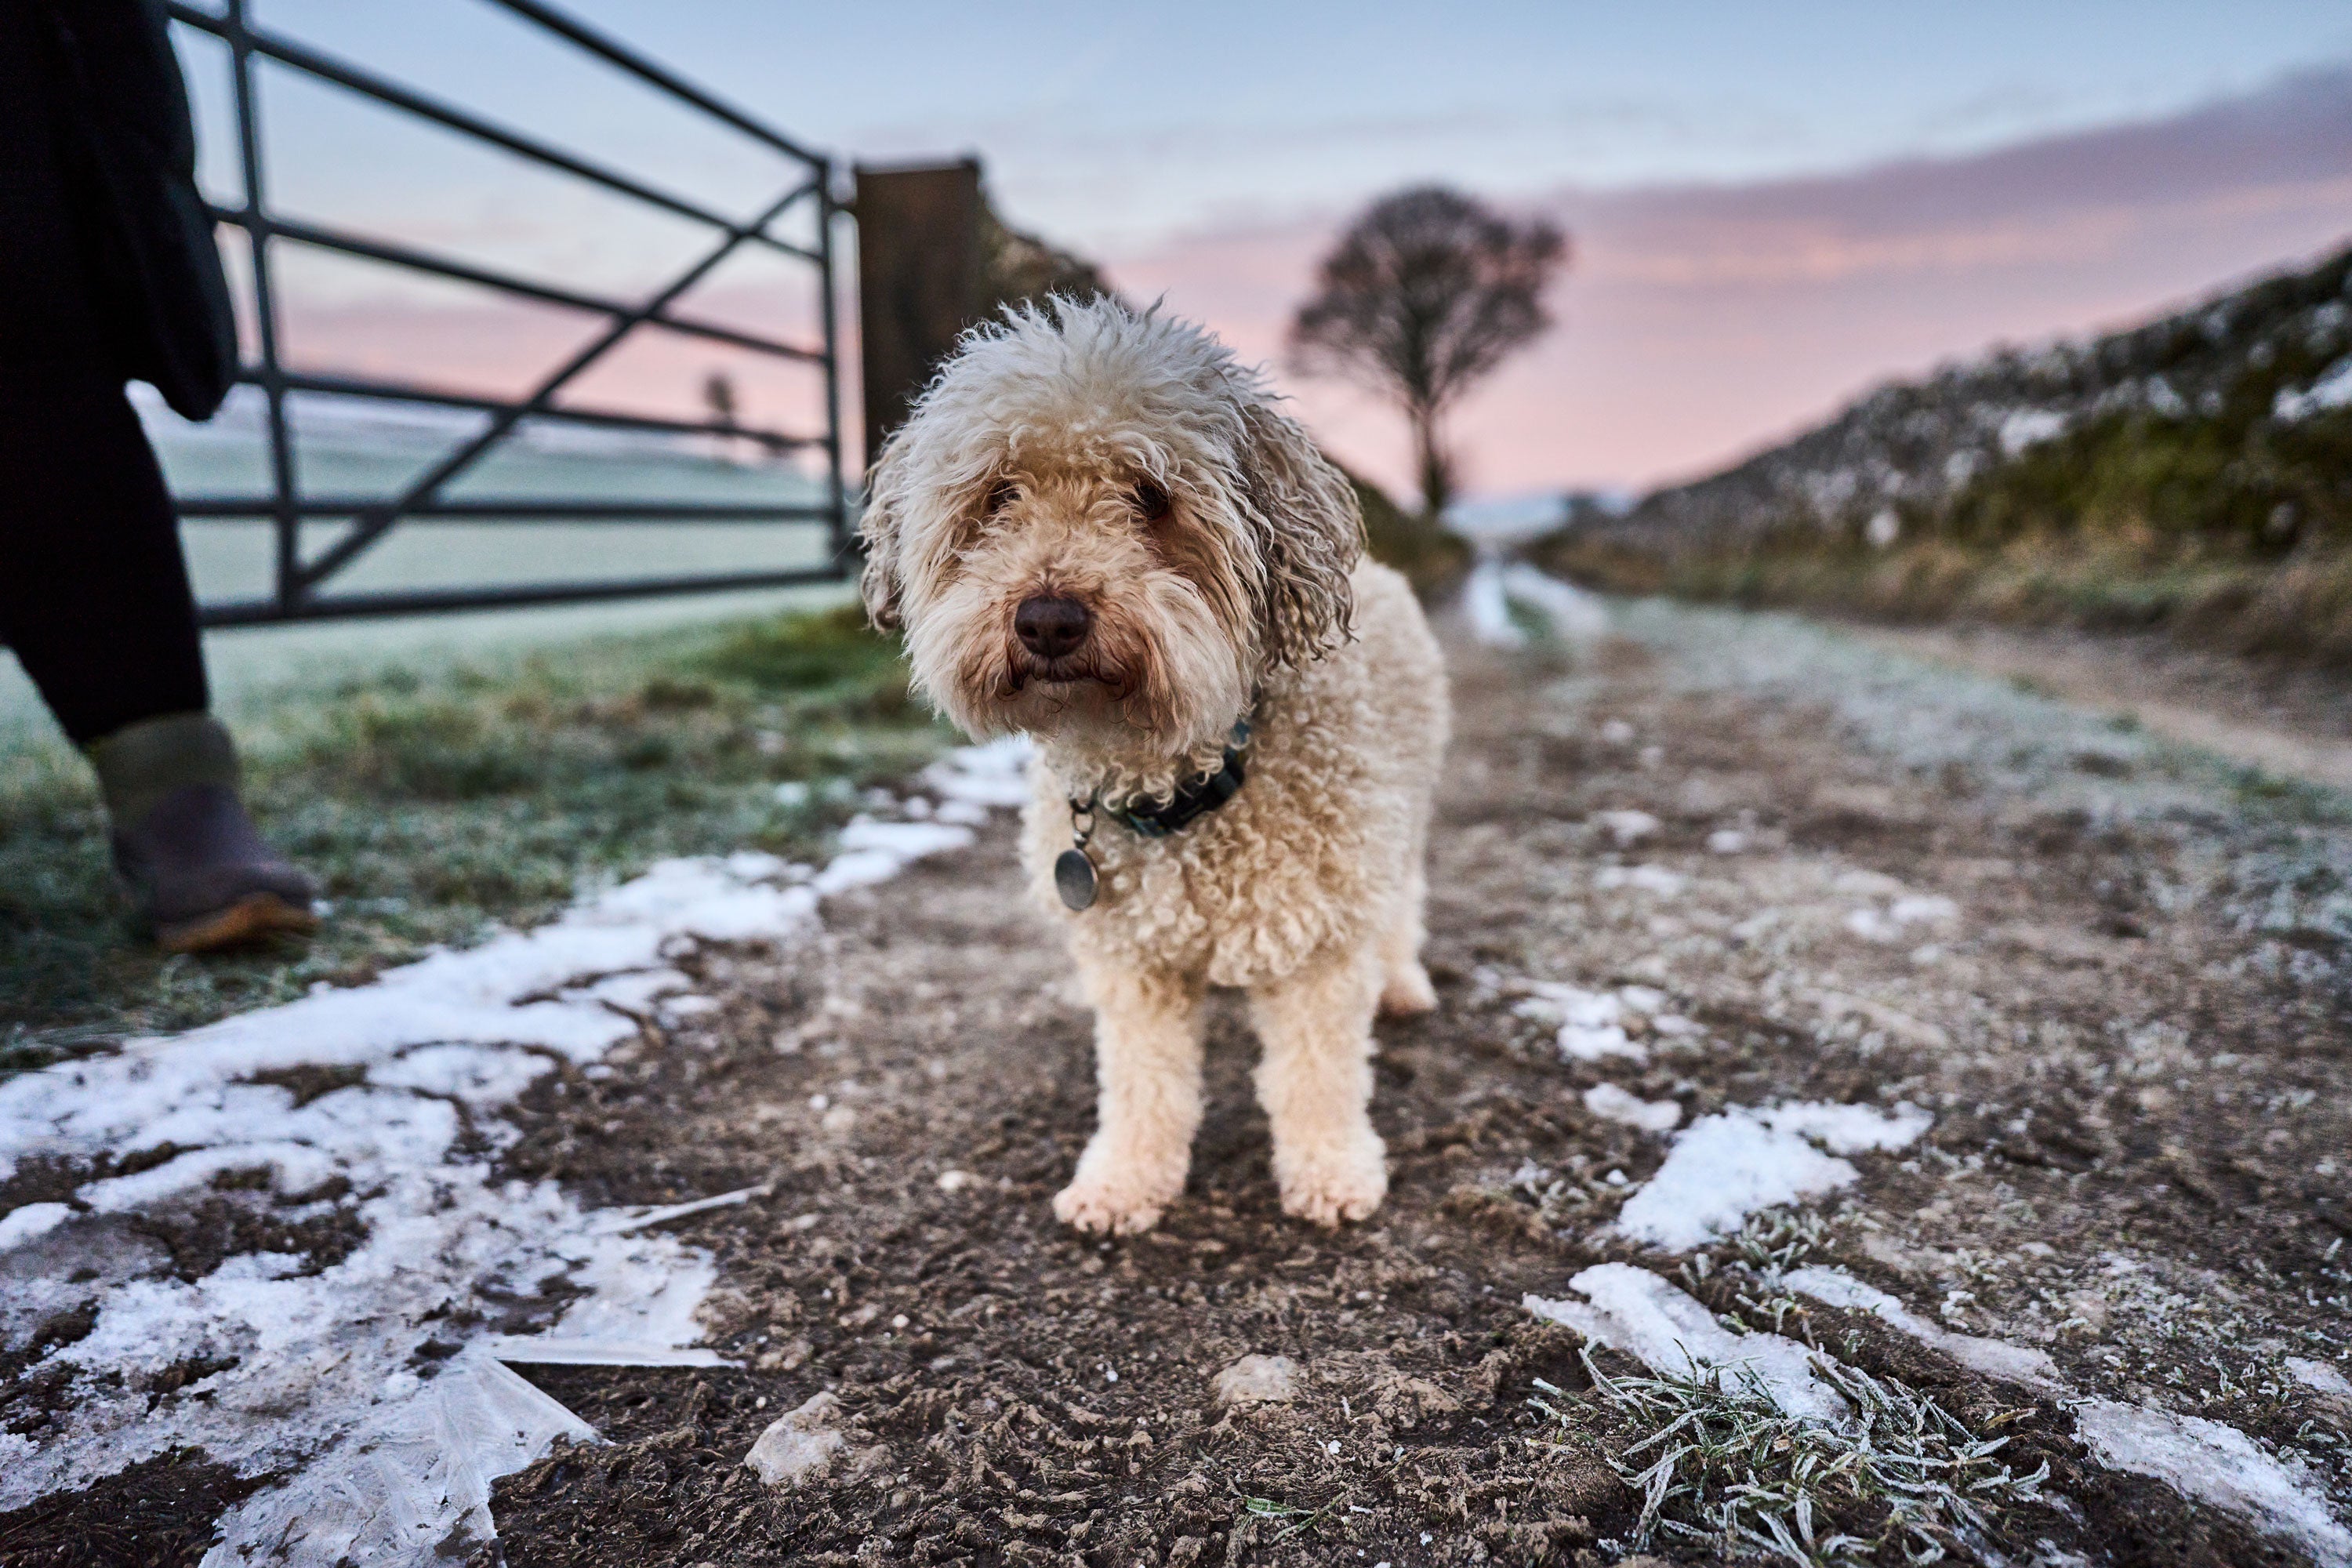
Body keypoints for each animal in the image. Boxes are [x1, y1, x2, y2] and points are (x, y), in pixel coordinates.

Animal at [861, 297, 1439, 1241]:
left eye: (1150, 495)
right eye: (999, 495)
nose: (1049, 619)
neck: (1177, 786)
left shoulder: (1318, 937)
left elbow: (1316, 1075)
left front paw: (1331, 1171)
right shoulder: (1133, 961)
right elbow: (1143, 1083)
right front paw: (1125, 1181)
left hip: (1399, 818)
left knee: (1400, 905)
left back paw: (1400, 982)